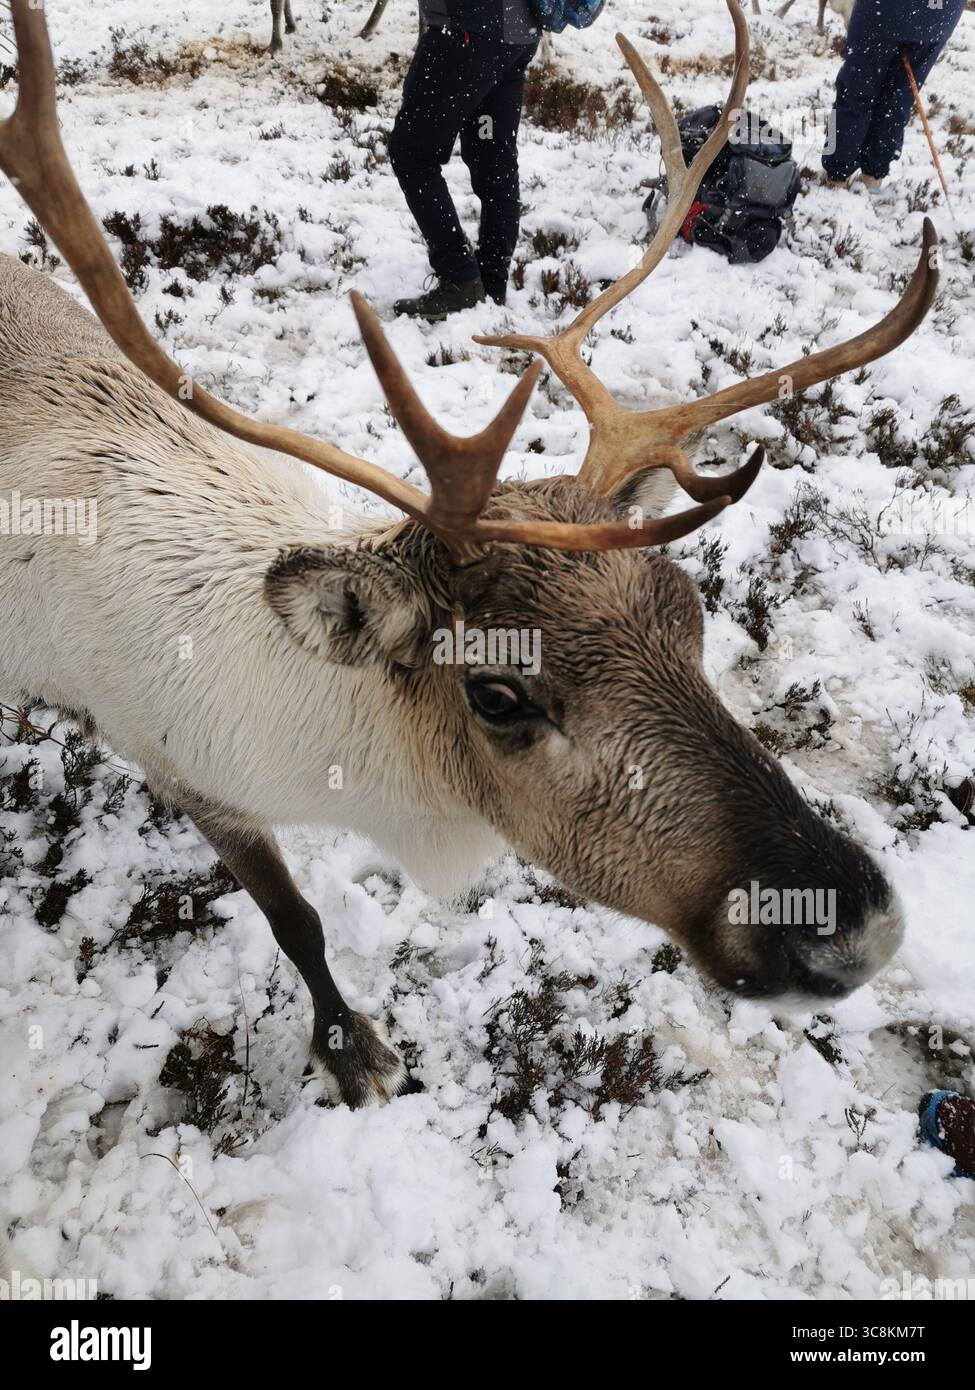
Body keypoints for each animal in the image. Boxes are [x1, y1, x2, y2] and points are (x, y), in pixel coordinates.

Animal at [0, 0, 937, 1109]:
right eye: (497, 693)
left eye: (691, 615)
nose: (852, 932)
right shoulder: (183, 774)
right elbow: (296, 919)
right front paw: (352, 1049)